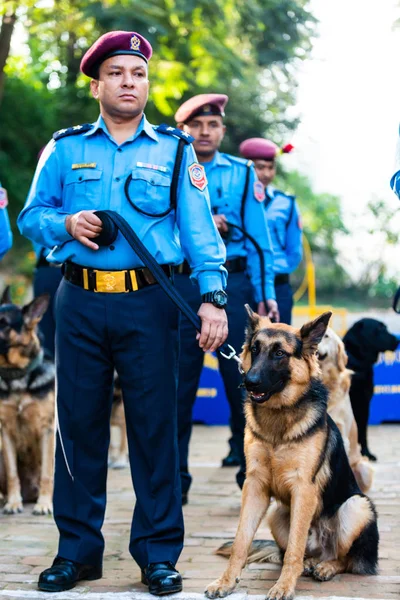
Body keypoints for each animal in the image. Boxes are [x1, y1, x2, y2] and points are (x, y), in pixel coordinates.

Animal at [206, 308, 378, 600]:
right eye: (255, 349)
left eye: (279, 353)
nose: (248, 382)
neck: (278, 419)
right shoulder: (255, 486)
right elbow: (241, 541)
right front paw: (226, 582)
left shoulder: (303, 489)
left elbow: (294, 550)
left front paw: (284, 586)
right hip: (277, 513)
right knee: (305, 552)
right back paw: (311, 563)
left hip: (356, 506)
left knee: (344, 558)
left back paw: (326, 567)